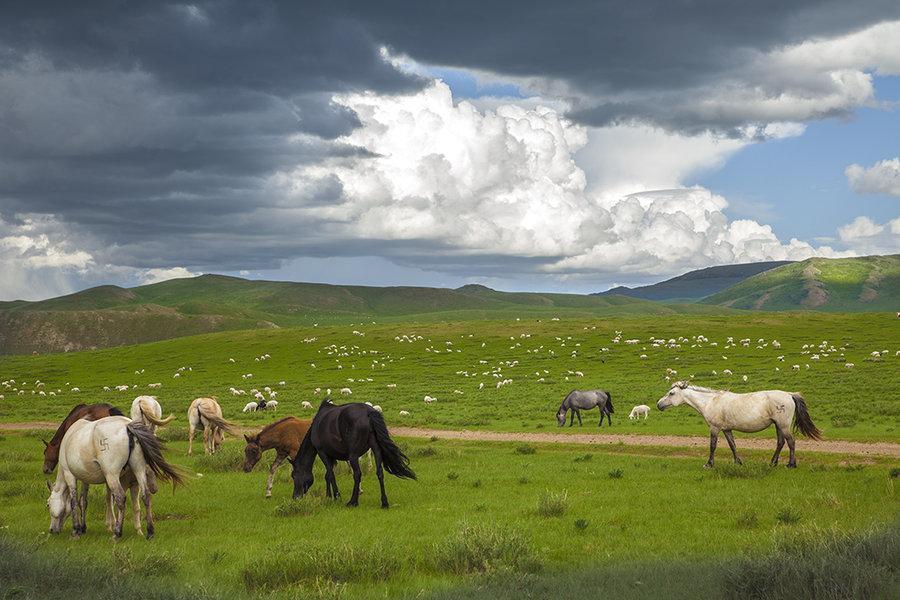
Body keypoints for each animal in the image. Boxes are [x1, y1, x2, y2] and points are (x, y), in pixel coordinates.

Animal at [46, 418, 184, 540]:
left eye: (48, 504)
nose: (52, 530)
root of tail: (127, 427)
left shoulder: (69, 475)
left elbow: (74, 501)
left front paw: (75, 530)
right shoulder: (85, 479)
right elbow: (83, 501)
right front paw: (82, 528)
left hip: (112, 476)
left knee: (120, 498)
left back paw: (117, 533)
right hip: (138, 469)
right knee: (146, 495)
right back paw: (150, 532)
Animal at [652, 380, 824, 468]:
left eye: (671, 393)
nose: (659, 405)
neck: (711, 402)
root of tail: (789, 394)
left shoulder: (714, 428)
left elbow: (712, 446)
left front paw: (709, 464)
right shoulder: (727, 429)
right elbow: (732, 445)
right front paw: (738, 462)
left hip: (783, 425)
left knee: (791, 442)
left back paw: (790, 464)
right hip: (777, 425)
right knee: (781, 442)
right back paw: (772, 463)